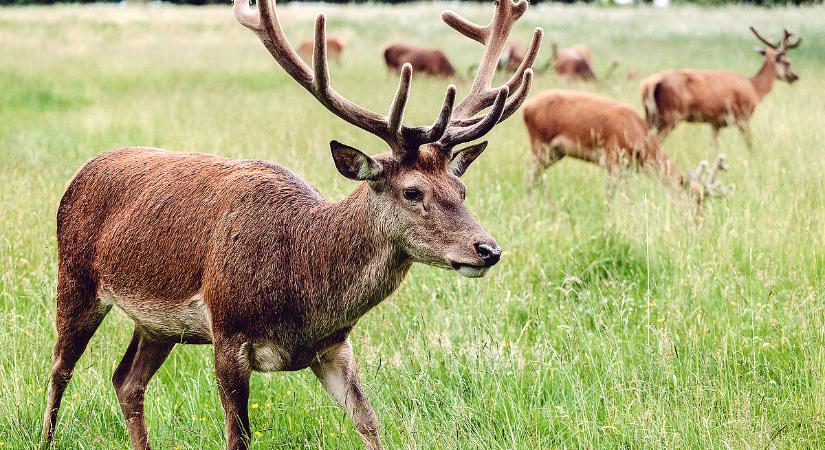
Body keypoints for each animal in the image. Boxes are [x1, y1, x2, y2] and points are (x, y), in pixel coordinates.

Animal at [37, 0, 540, 450]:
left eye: (462, 189)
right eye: (412, 191)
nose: (487, 249)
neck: (302, 289)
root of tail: (83, 170)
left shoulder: (334, 347)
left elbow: (370, 421)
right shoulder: (228, 333)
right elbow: (239, 437)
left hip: (158, 325)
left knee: (126, 380)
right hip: (75, 276)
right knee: (60, 368)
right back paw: (45, 438)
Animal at [520, 89, 728, 206]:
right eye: (694, 199)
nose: (698, 223)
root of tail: (526, 109)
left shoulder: (625, 168)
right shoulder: (611, 158)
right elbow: (613, 196)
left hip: (555, 153)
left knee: (538, 176)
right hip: (540, 146)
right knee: (530, 176)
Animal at [636, 27, 800, 151]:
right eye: (787, 62)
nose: (795, 76)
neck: (754, 88)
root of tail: (649, 83)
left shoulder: (715, 123)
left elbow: (713, 148)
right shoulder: (742, 116)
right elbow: (749, 143)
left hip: (650, 115)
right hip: (671, 114)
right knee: (652, 142)